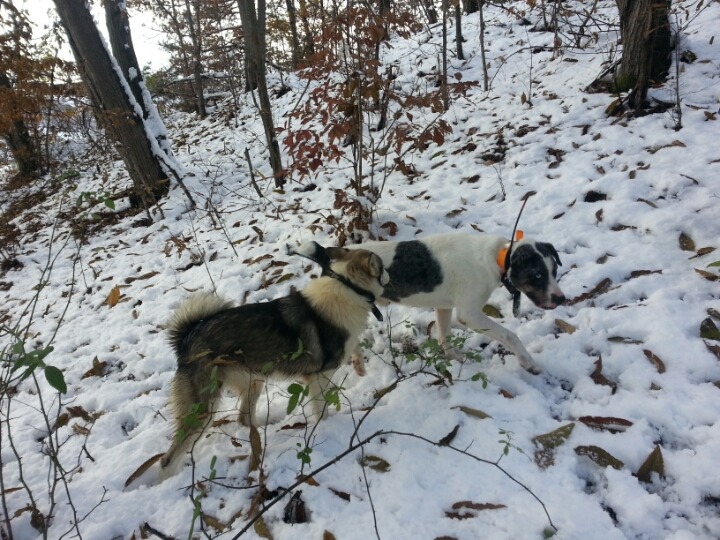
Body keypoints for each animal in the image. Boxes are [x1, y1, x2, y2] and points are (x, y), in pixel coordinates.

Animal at [159, 243, 389, 476]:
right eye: (381, 267)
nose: (389, 273)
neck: (349, 287)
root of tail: (186, 338)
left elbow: (355, 345)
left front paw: (359, 365)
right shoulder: (319, 378)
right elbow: (322, 412)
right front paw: (326, 428)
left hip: (253, 381)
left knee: (244, 418)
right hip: (202, 411)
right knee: (167, 459)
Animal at [349, 232, 565, 373]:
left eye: (554, 271)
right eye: (538, 275)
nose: (562, 299)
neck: (493, 258)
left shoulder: (444, 307)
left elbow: (444, 335)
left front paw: (452, 358)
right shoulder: (469, 314)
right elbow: (510, 336)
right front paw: (527, 362)